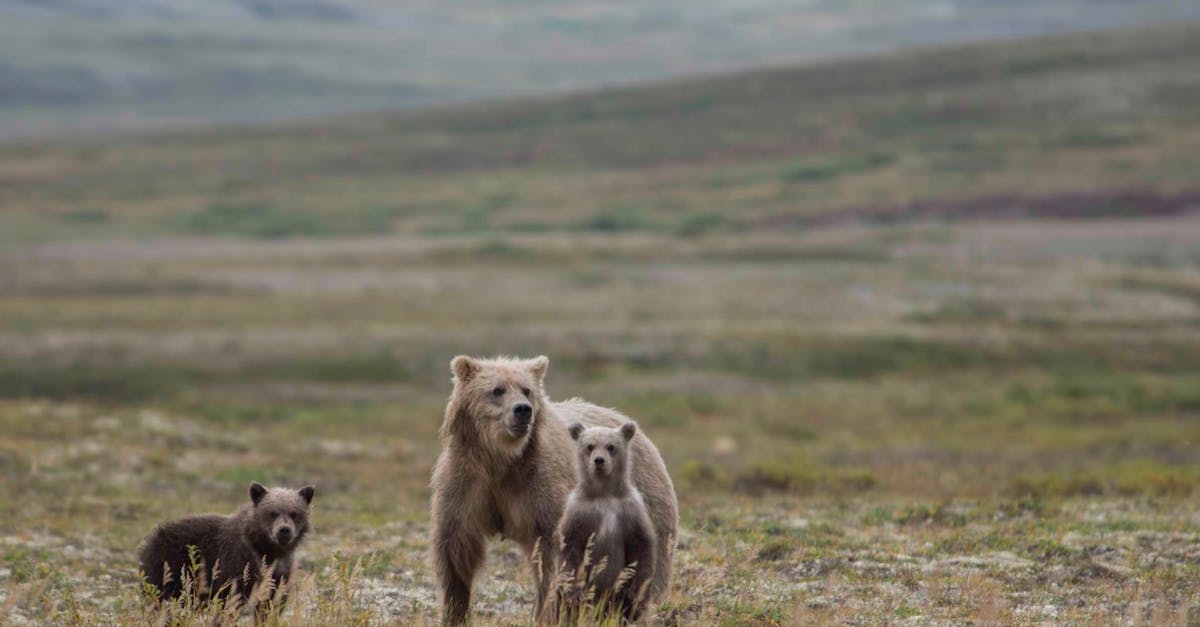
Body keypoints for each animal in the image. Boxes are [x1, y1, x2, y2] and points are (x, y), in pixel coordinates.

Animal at [138, 482, 314, 611]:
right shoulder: (237, 561)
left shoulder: (279, 571)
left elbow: (271, 602)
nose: (284, 530)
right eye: (272, 513)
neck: (266, 549)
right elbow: (230, 597)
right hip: (170, 566)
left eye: (294, 513)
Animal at [555, 421, 656, 623]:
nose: (599, 460)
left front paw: (636, 592)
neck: (604, 494)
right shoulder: (579, 512)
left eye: (611, 446)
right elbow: (570, 547)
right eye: (590, 446)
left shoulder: (630, 510)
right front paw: (574, 592)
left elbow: (641, 545)